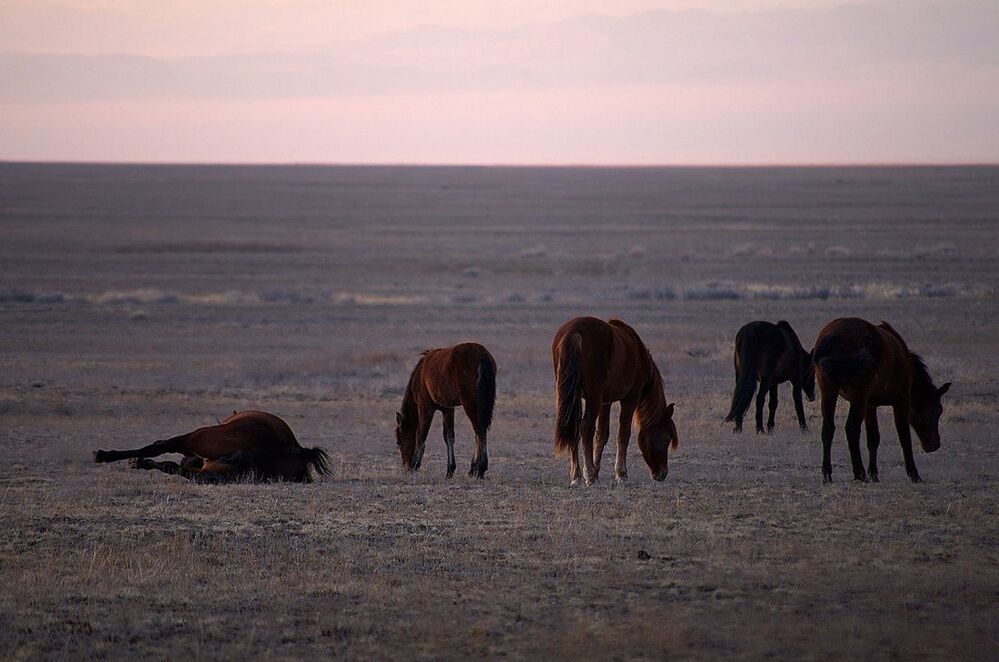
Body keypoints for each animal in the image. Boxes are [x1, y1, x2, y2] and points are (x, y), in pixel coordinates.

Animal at [396, 342, 496, 478]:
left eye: (399, 441)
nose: (406, 467)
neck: (420, 375)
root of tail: (482, 357)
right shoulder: (447, 409)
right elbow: (449, 436)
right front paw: (450, 469)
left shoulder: (425, 406)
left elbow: (421, 434)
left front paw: (416, 463)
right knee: (479, 431)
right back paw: (473, 468)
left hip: (470, 402)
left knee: (479, 431)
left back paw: (480, 469)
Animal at [552, 316, 678, 486]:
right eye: (667, 438)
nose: (662, 473)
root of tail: (574, 333)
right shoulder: (630, 398)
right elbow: (623, 434)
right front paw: (620, 474)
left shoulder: (605, 402)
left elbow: (602, 435)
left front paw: (597, 469)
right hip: (593, 397)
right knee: (586, 426)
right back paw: (588, 475)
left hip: (573, 395)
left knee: (573, 426)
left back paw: (576, 476)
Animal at [813, 318, 950, 483]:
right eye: (938, 410)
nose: (935, 444)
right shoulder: (902, 398)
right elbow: (904, 435)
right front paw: (914, 474)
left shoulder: (870, 405)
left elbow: (873, 438)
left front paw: (874, 473)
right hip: (859, 392)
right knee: (851, 428)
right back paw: (859, 473)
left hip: (828, 389)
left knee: (828, 428)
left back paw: (827, 473)